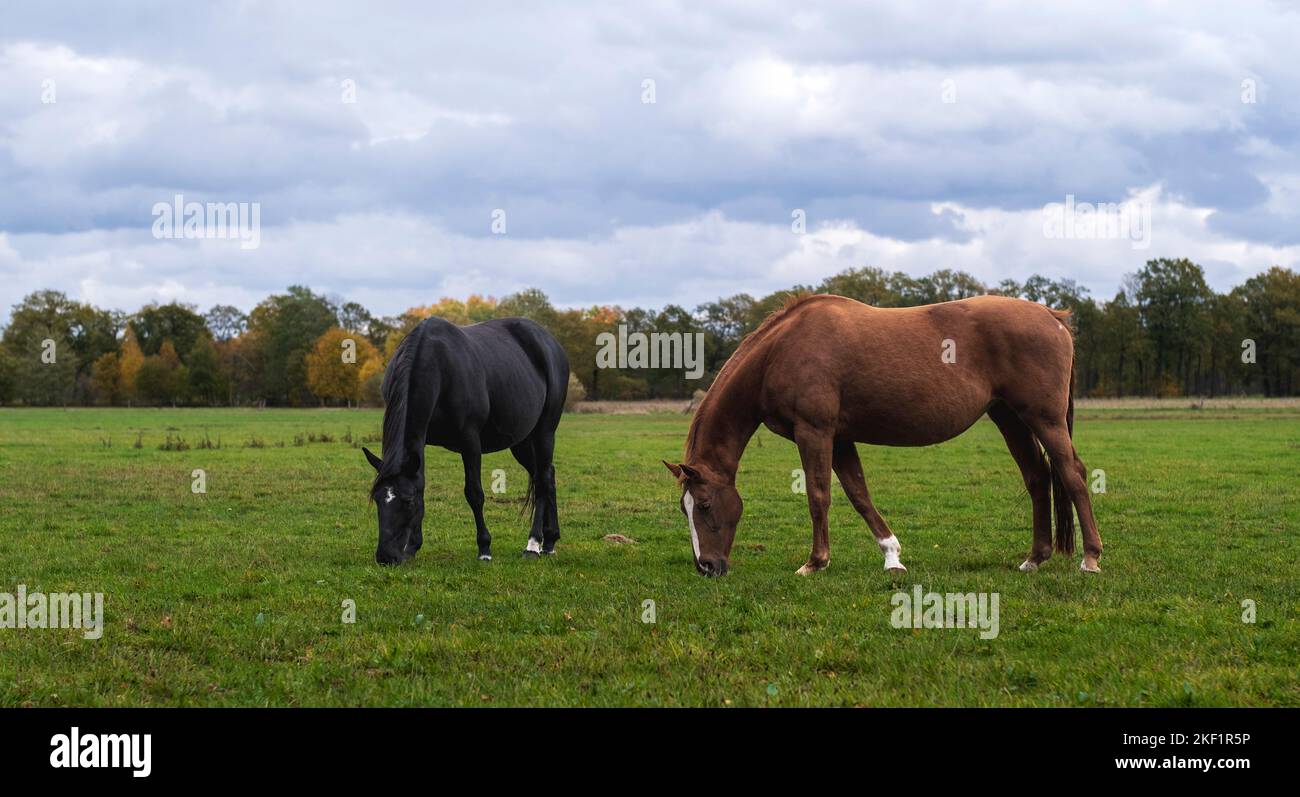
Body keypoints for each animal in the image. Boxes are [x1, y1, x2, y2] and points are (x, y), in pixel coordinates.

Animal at [363, 316, 569, 564]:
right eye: (377, 499)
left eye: (407, 501)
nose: (386, 556)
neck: (438, 366)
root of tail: (551, 343)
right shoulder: (419, 441)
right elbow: (422, 483)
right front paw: (413, 546)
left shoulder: (470, 441)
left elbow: (474, 493)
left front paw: (484, 548)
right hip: (520, 442)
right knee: (547, 476)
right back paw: (550, 540)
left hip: (544, 432)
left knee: (542, 480)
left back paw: (534, 544)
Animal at [664, 293, 1102, 577]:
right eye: (684, 509)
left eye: (704, 505)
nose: (706, 567)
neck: (780, 351)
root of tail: (1052, 316)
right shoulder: (840, 438)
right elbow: (859, 494)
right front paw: (892, 556)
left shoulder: (814, 432)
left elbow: (819, 496)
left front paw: (815, 562)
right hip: (1009, 417)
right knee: (1038, 478)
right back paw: (1035, 558)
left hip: (1044, 418)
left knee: (1072, 475)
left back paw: (1091, 559)